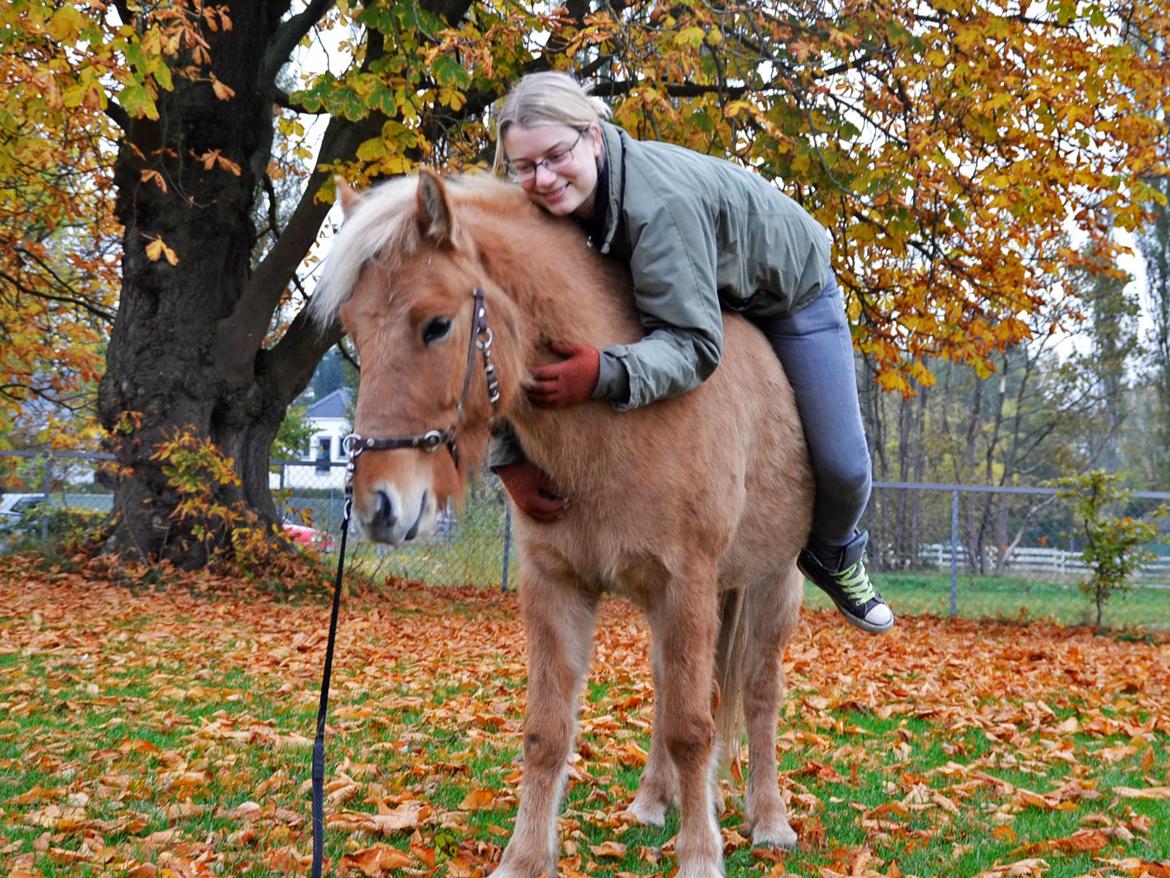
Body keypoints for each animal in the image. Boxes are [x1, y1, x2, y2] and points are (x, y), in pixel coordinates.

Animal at [311, 172, 814, 878]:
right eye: (354, 329)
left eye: (437, 325)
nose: (378, 506)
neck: (621, 415)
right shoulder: (556, 585)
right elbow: (549, 731)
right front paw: (524, 858)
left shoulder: (686, 583)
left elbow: (693, 728)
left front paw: (699, 857)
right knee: (678, 689)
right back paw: (654, 803)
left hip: (770, 585)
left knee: (759, 693)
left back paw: (768, 821)